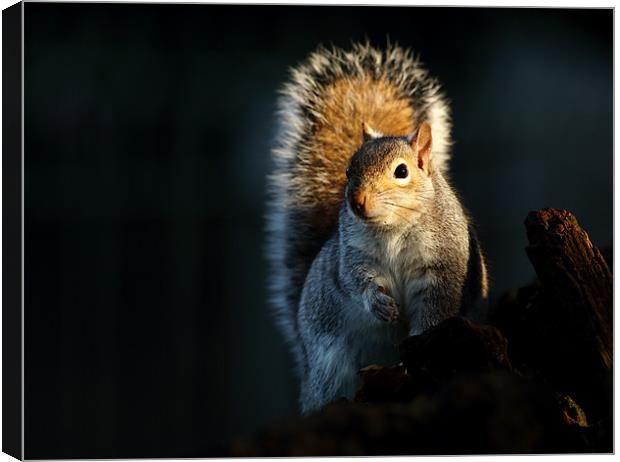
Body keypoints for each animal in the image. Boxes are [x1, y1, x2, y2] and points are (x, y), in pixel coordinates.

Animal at [266, 42, 490, 412]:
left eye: (402, 171)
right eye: (347, 170)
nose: (357, 201)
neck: (393, 229)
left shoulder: (443, 265)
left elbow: (434, 312)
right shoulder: (354, 256)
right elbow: (356, 281)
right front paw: (378, 303)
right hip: (331, 366)